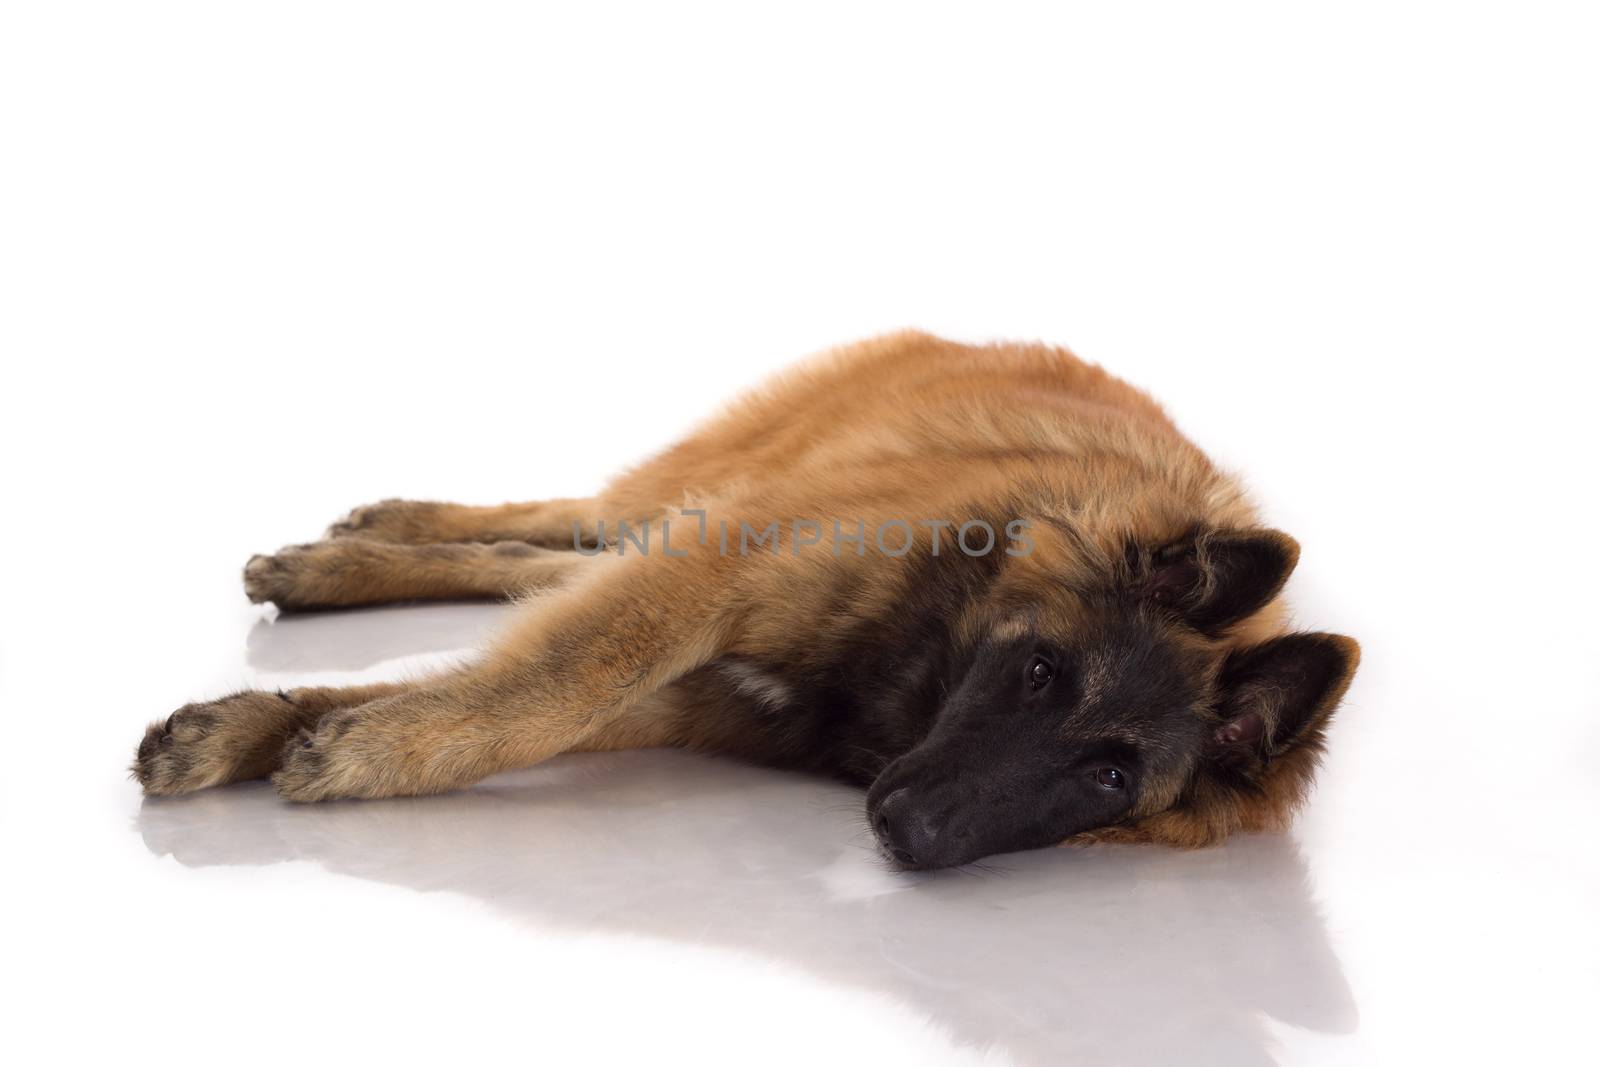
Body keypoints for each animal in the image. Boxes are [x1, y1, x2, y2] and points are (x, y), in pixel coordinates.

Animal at [134, 331, 1363, 870]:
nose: (909, 832)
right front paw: (351, 745)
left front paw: (270, 727)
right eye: (1037, 673)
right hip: (692, 490)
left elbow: (533, 683)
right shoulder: (712, 569)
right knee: (573, 512)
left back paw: (341, 562)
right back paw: (374, 535)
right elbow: (556, 682)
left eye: (1110, 775)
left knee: (545, 558)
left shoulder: (702, 678)